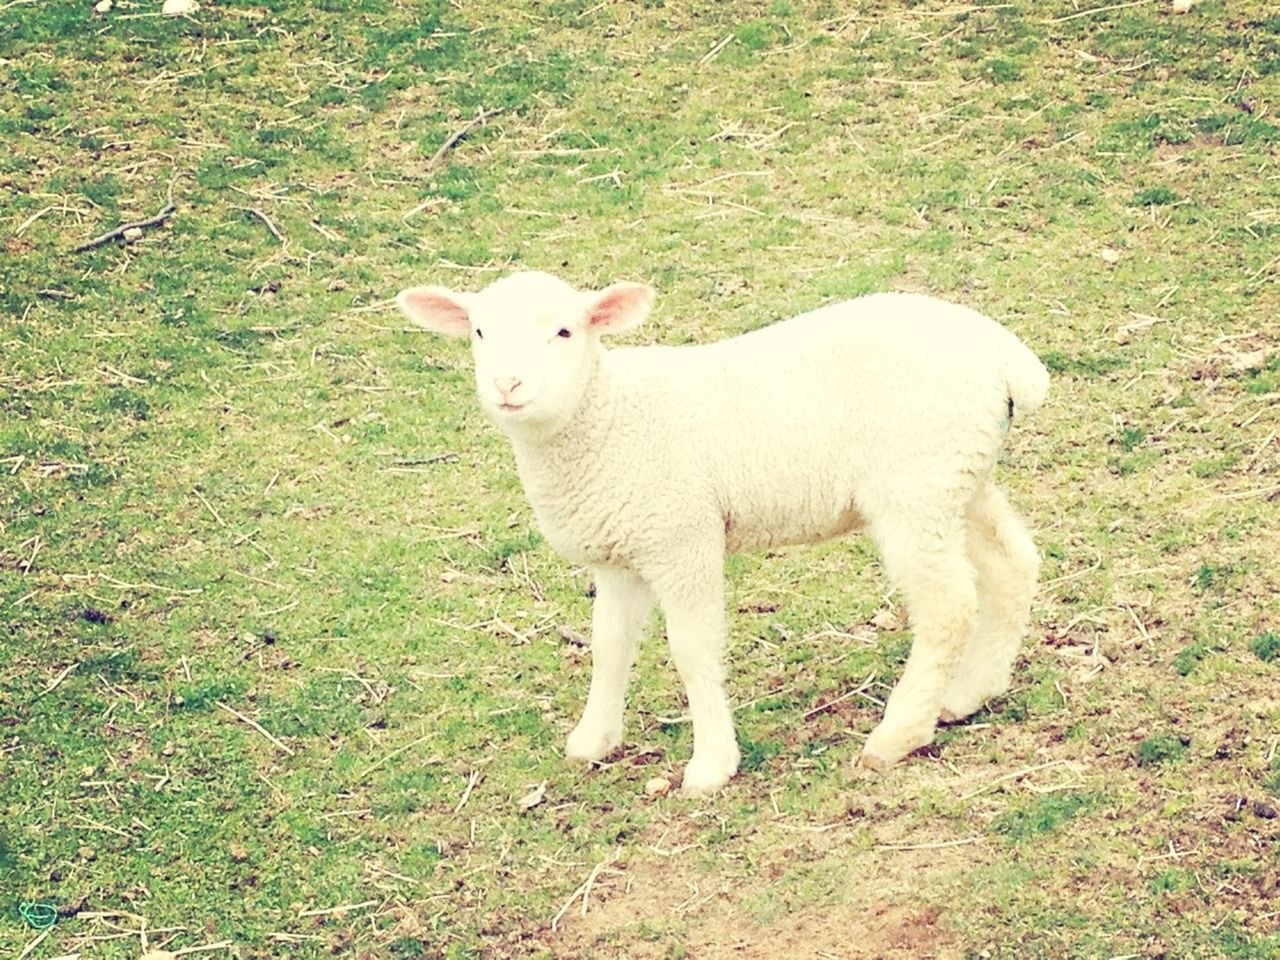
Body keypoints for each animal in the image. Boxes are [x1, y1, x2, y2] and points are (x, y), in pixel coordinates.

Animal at [399, 271, 1049, 798]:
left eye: (564, 331)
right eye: (479, 332)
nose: (508, 385)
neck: (606, 417)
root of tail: (1008, 359)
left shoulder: (681, 536)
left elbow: (692, 650)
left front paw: (711, 764)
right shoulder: (619, 554)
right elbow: (610, 646)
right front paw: (594, 739)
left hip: (916, 484)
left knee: (947, 606)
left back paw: (899, 733)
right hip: (957, 477)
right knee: (1012, 566)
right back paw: (967, 695)